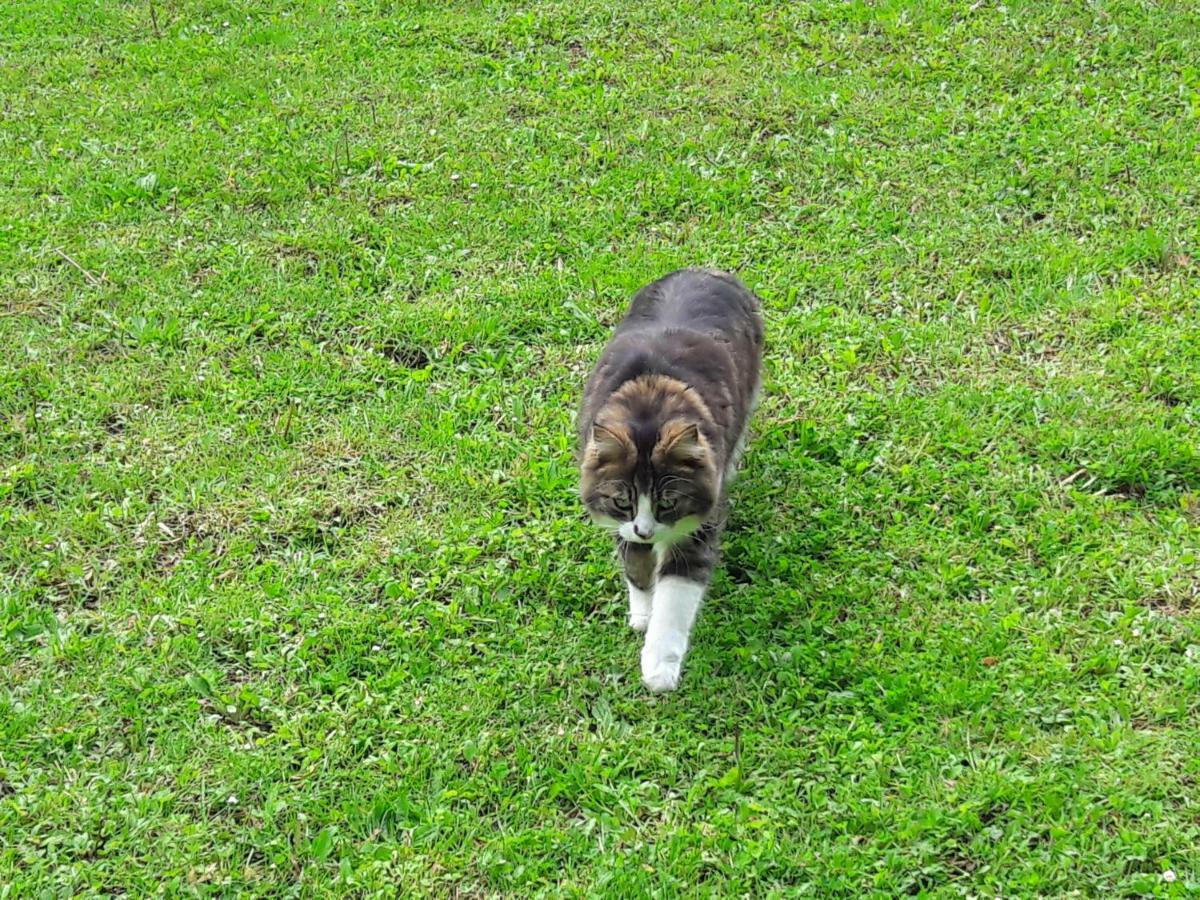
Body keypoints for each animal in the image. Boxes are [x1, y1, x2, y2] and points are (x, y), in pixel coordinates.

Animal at [576, 267, 763, 691]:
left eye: (668, 503)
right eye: (623, 501)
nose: (647, 532)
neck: (649, 405)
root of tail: (705, 269)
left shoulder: (697, 529)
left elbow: (675, 600)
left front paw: (659, 666)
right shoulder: (623, 524)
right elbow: (636, 569)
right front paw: (642, 613)